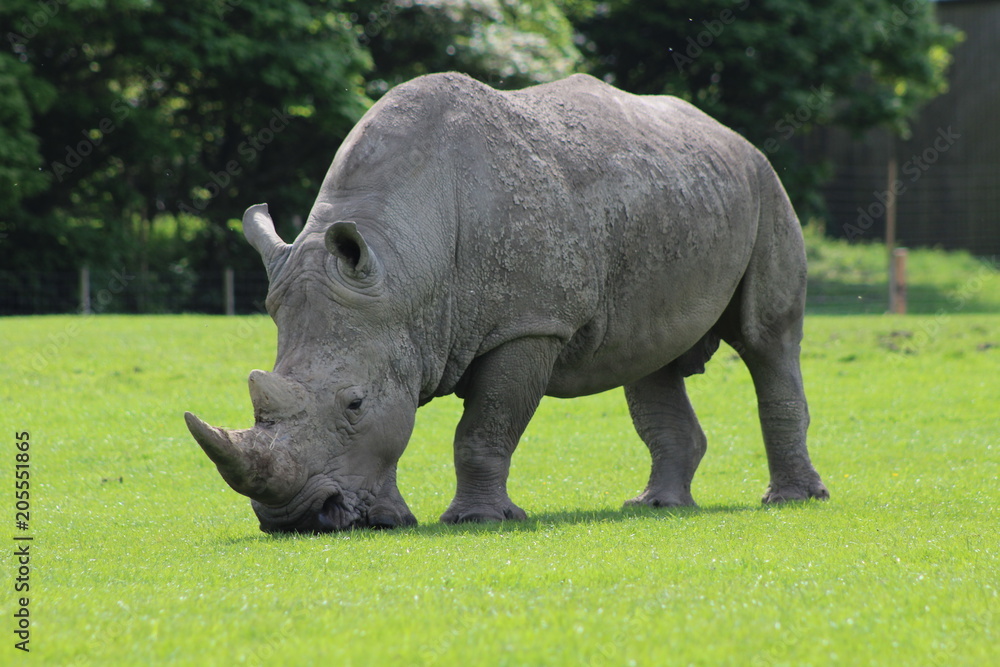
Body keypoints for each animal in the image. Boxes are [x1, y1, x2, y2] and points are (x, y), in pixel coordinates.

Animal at [184, 72, 829, 533]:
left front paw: (475, 520)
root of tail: (730, 134)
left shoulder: (529, 325)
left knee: (767, 338)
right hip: (680, 193)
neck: (405, 267)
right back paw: (655, 507)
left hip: (765, 186)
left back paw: (791, 501)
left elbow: (484, 426)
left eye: (355, 404)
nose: (295, 520)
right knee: (650, 359)